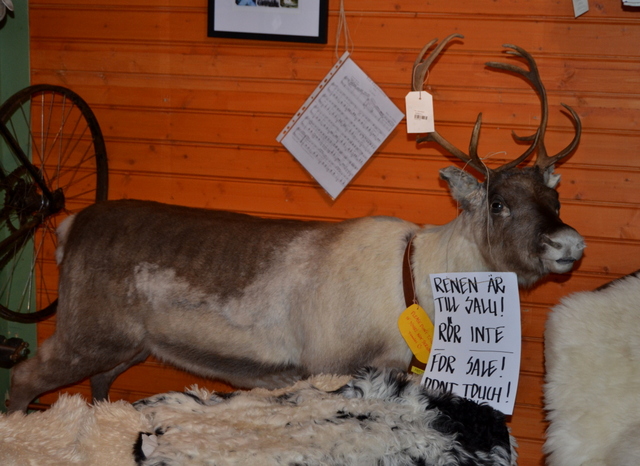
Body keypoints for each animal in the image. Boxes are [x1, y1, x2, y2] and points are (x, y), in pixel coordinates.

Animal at [8, 34, 584, 412]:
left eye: (554, 194)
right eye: (498, 203)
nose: (569, 243)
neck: (419, 280)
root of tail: (69, 228)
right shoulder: (328, 364)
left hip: (126, 344)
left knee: (98, 387)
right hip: (86, 331)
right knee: (24, 375)